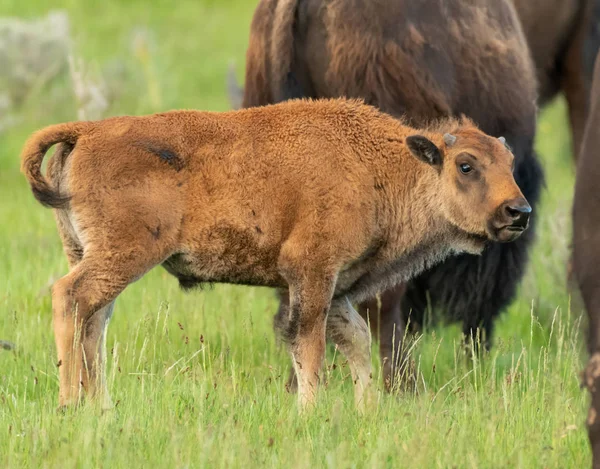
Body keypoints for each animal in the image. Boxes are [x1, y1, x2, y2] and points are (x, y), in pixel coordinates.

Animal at [19, 98, 528, 410]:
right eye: (466, 165)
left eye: (510, 164)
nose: (518, 211)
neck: (380, 166)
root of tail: (86, 132)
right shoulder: (312, 272)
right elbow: (311, 345)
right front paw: (310, 410)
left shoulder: (337, 287)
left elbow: (356, 341)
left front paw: (367, 410)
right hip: (122, 256)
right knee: (71, 300)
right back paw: (69, 404)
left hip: (87, 251)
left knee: (94, 322)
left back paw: (101, 406)